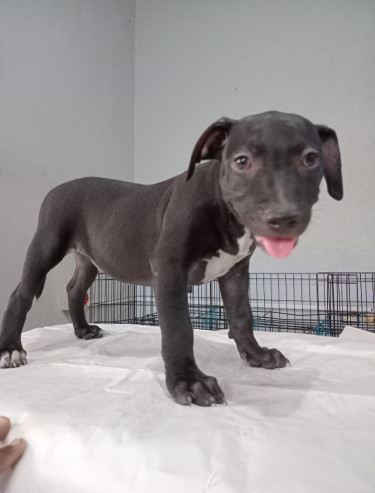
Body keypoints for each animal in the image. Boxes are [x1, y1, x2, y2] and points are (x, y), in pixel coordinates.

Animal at [0, 110, 344, 404]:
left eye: (310, 159)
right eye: (242, 161)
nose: (284, 216)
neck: (224, 209)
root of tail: (57, 188)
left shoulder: (235, 272)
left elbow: (242, 315)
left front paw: (256, 355)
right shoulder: (169, 268)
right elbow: (179, 327)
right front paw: (188, 380)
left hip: (90, 259)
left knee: (74, 289)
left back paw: (83, 329)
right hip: (46, 245)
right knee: (21, 294)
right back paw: (11, 349)